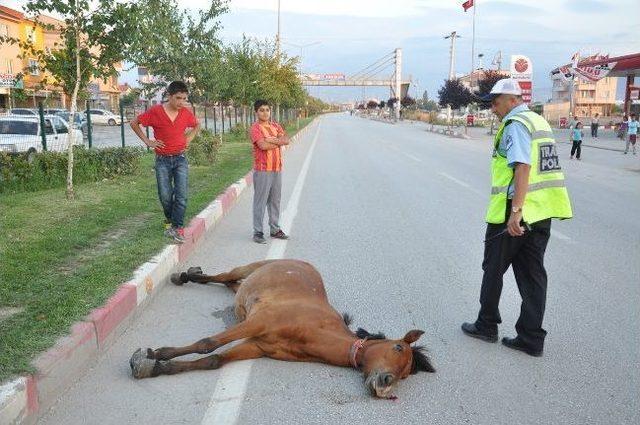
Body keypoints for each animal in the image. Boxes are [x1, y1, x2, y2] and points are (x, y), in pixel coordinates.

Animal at [132, 258, 438, 398]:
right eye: (397, 347)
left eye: (405, 375)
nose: (385, 383)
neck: (313, 329)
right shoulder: (259, 322)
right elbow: (207, 344)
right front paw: (152, 355)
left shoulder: (256, 345)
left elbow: (213, 360)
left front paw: (156, 368)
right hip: (245, 270)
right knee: (219, 276)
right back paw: (185, 276)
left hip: (242, 291)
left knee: (229, 286)